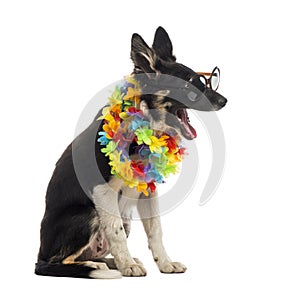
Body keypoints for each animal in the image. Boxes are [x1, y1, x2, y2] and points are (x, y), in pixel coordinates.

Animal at [35, 26, 226, 278]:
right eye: (189, 86)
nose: (224, 100)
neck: (141, 129)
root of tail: (40, 252)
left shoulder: (148, 192)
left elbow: (156, 231)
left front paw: (165, 263)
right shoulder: (102, 191)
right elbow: (115, 232)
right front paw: (128, 266)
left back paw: (109, 262)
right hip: (87, 214)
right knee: (54, 263)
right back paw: (98, 266)